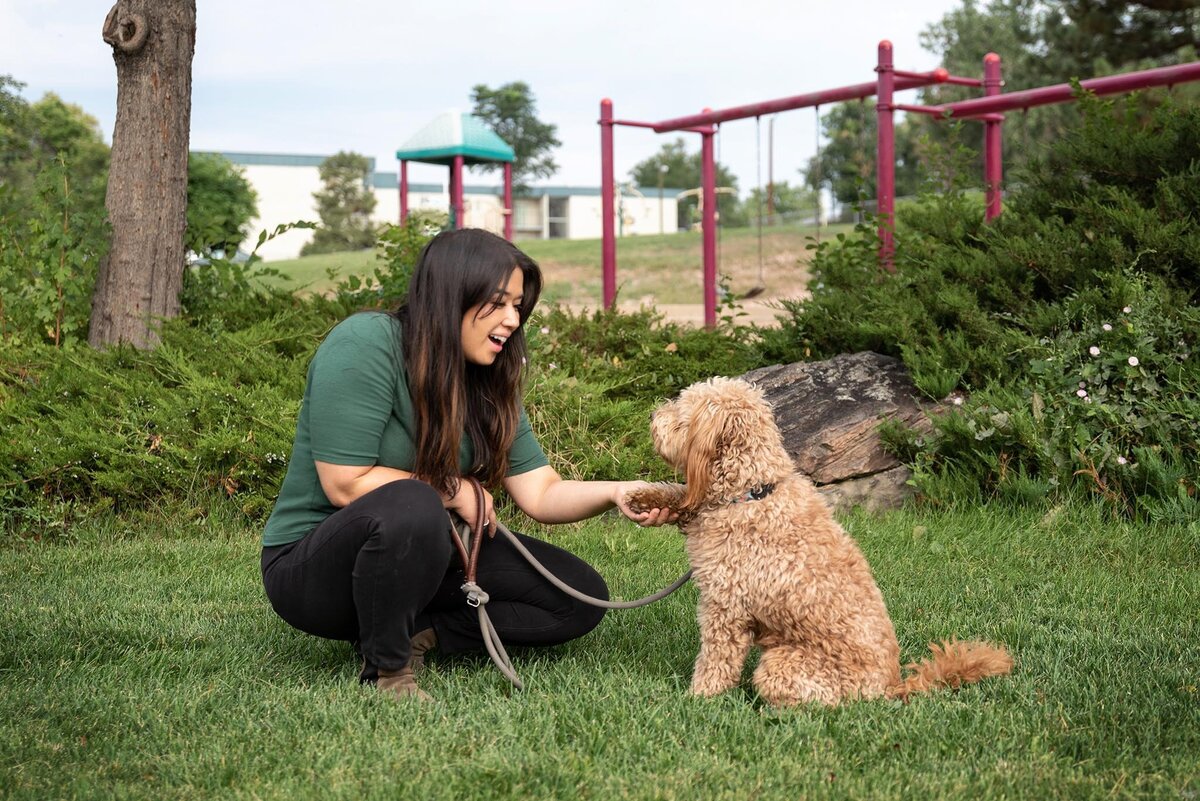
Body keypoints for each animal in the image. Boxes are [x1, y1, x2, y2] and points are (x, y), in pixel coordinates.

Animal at [628, 376, 1012, 705]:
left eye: (681, 412)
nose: (652, 416)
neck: (753, 491)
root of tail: (893, 685)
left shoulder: (726, 606)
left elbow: (716, 661)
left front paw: (698, 699)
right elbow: (680, 498)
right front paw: (642, 498)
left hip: (783, 665)